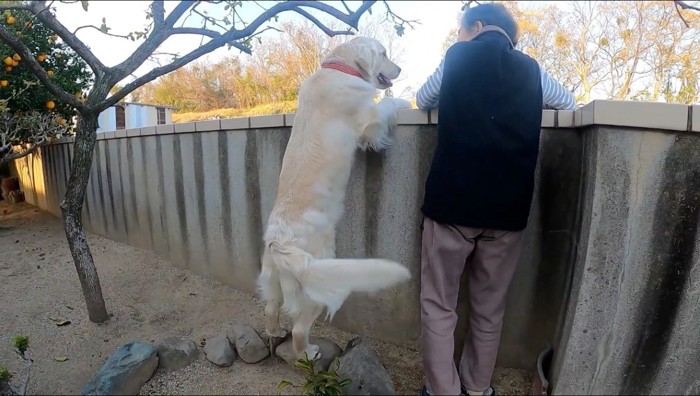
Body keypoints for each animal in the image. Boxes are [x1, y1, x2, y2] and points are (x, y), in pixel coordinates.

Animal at [256, 35, 410, 360]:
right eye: (384, 53)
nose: (400, 69)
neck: (338, 67)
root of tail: (278, 241)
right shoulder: (368, 119)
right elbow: (386, 103)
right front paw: (404, 100)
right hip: (320, 277)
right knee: (300, 328)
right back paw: (308, 352)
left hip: (273, 277)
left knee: (271, 307)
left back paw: (275, 332)